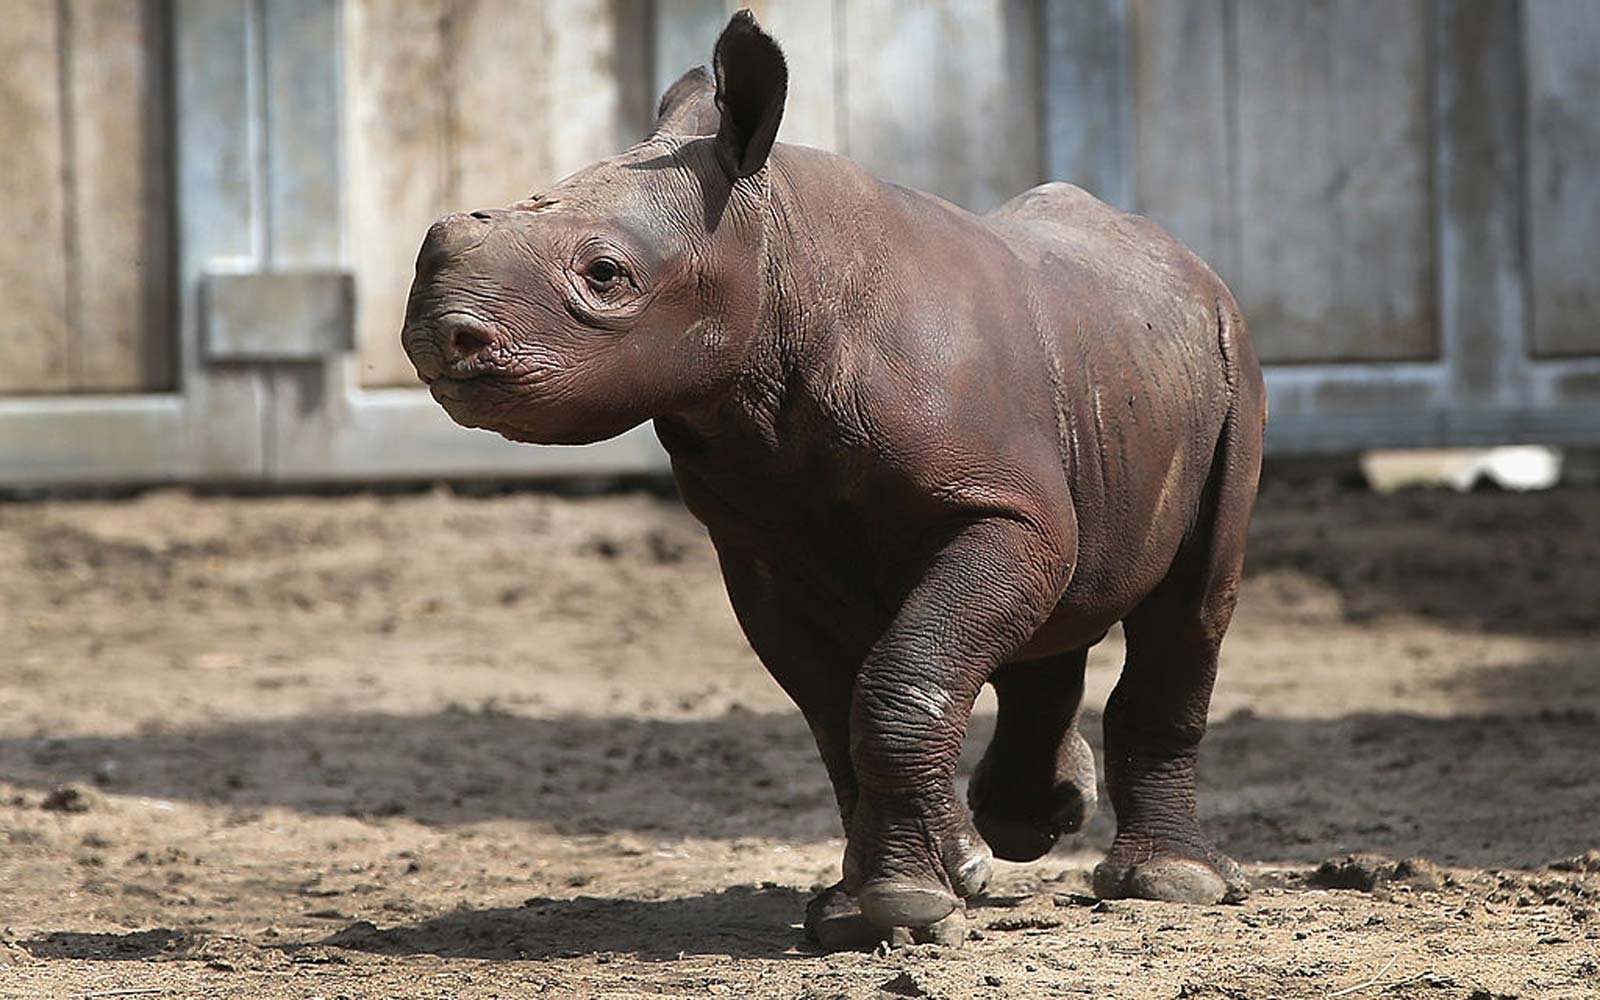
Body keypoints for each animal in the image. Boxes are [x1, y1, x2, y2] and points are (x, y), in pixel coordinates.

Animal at [400, 9, 1260, 953]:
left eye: (603, 276)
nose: (439, 334)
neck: (777, 255)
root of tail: (1181, 256)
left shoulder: (1001, 509)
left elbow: (899, 680)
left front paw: (911, 903)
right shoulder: (758, 545)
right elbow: (839, 709)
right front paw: (879, 906)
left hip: (1229, 358)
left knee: (1191, 602)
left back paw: (1169, 883)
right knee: (1060, 600)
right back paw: (1023, 828)